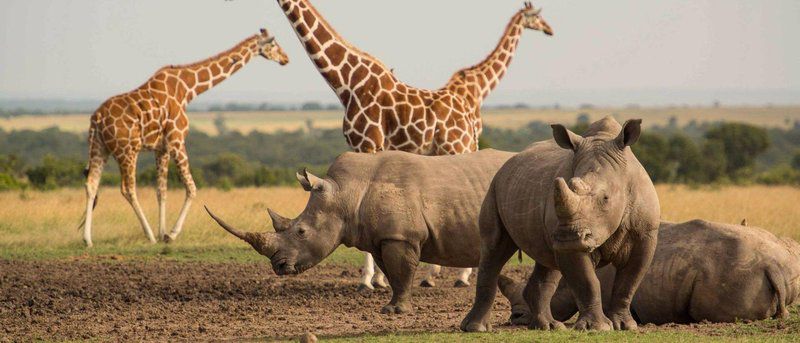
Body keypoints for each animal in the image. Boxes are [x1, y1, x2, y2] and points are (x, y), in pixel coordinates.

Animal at [80, 27, 288, 247]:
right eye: (273, 44)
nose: (286, 58)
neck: (188, 90)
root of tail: (97, 118)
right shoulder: (177, 139)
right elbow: (191, 187)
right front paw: (170, 234)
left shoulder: (161, 148)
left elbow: (161, 191)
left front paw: (163, 231)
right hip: (127, 150)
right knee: (128, 188)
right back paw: (149, 235)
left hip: (99, 148)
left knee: (91, 184)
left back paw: (87, 239)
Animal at [206, 149, 516, 316]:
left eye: (302, 232)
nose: (278, 266)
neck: (345, 193)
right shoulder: (381, 239)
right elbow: (393, 274)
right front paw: (389, 307)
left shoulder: (400, 236)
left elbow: (402, 272)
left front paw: (396, 311)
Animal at [276, 0, 552, 290]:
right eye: (538, 18)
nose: (549, 30)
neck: (349, 83)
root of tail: (463, 116)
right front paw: (380, 278)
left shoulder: (368, 142)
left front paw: (370, 280)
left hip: (458, 146)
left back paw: (460, 275)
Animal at [460, 117, 660, 332]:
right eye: (569, 186)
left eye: (606, 198)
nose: (568, 237)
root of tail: (509, 161)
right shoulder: (573, 243)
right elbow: (588, 282)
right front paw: (596, 328)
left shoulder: (645, 234)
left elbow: (629, 281)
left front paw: (625, 325)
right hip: (494, 187)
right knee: (494, 249)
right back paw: (476, 328)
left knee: (547, 262)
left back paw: (548, 327)